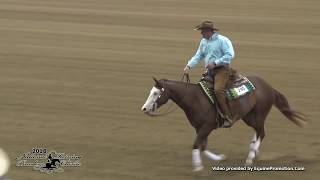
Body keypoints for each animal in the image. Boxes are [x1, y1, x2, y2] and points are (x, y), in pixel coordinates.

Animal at [141, 75, 308, 172]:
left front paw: (198, 167)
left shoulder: (207, 127)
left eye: (156, 93)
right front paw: (219, 158)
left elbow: (196, 145)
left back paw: (250, 157)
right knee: (258, 133)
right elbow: (202, 146)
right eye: (151, 91)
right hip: (248, 117)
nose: (144, 109)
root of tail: (269, 87)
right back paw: (253, 150)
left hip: (259, 115)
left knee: (262, 132)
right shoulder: (199, 128)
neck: (195, 99)